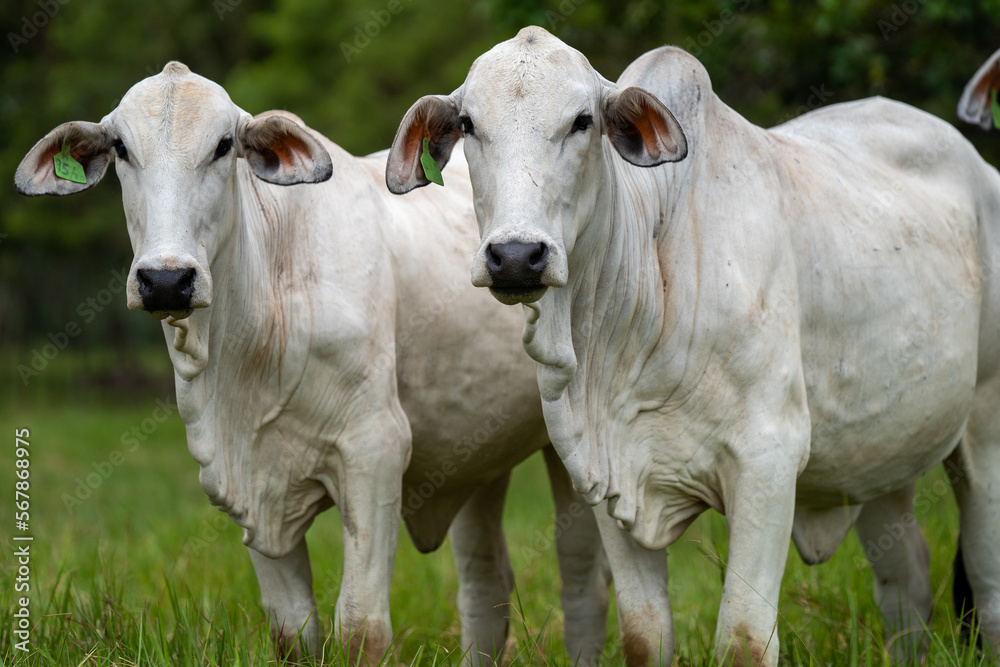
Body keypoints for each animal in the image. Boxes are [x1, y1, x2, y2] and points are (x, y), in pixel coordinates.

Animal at [15, 61, 608, 664]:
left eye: (223, 146)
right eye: (121, 149)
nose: (166, 279)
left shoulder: (374, 451)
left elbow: (361, 627)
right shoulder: (249, 481)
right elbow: (292, 632)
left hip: (569, 452)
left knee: (581, 579)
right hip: (476, 450)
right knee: (485, 582)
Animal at [386, 27, 1000, 667]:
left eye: (582, 121)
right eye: (468, 124)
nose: (515, 256)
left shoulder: (768, 461)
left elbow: (744, 640)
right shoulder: (604, 475)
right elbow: (643, 635)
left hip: (985, 424)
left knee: (985, 574)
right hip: (883, 451)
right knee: (905, 577)